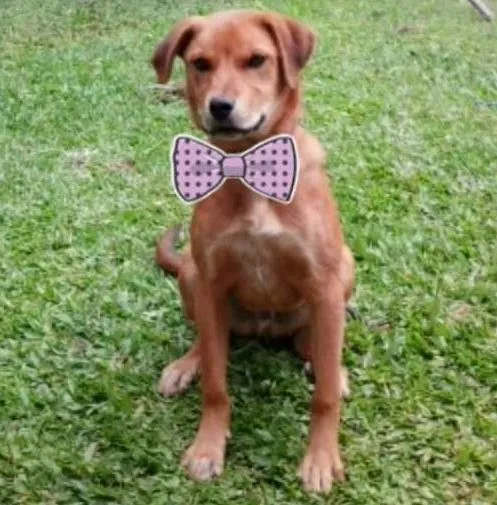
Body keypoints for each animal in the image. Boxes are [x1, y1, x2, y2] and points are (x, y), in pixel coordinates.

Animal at [151, 9, 355, 494]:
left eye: (257, 60)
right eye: (200, 63)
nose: (220, 107)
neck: (247, 168)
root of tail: (265, 327)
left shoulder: (324, 284)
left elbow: (322, 399)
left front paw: (321, 458)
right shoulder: (209, 282)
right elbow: (216, 385)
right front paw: (207, 447)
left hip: (344, 271)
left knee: (314, 346)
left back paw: (331, 367)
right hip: (191, 275)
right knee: (208, 340)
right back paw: (186, 364)